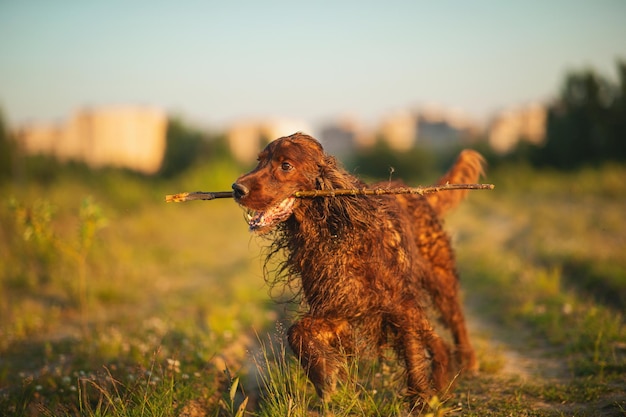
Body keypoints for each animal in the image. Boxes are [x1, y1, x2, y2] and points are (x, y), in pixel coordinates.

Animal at [232, 132, 480, 402]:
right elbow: (296, 331)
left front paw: (419, 401)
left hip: (438, 278)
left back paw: (466, 363)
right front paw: (323, 374)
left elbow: (412, 356)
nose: (236, 188)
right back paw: (443, 380)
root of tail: (420, 195)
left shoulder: (398, 302)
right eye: (259, 160)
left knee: (455, 318)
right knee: (437, 341)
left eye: (285, 165)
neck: (333, 230)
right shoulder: (338, 305)